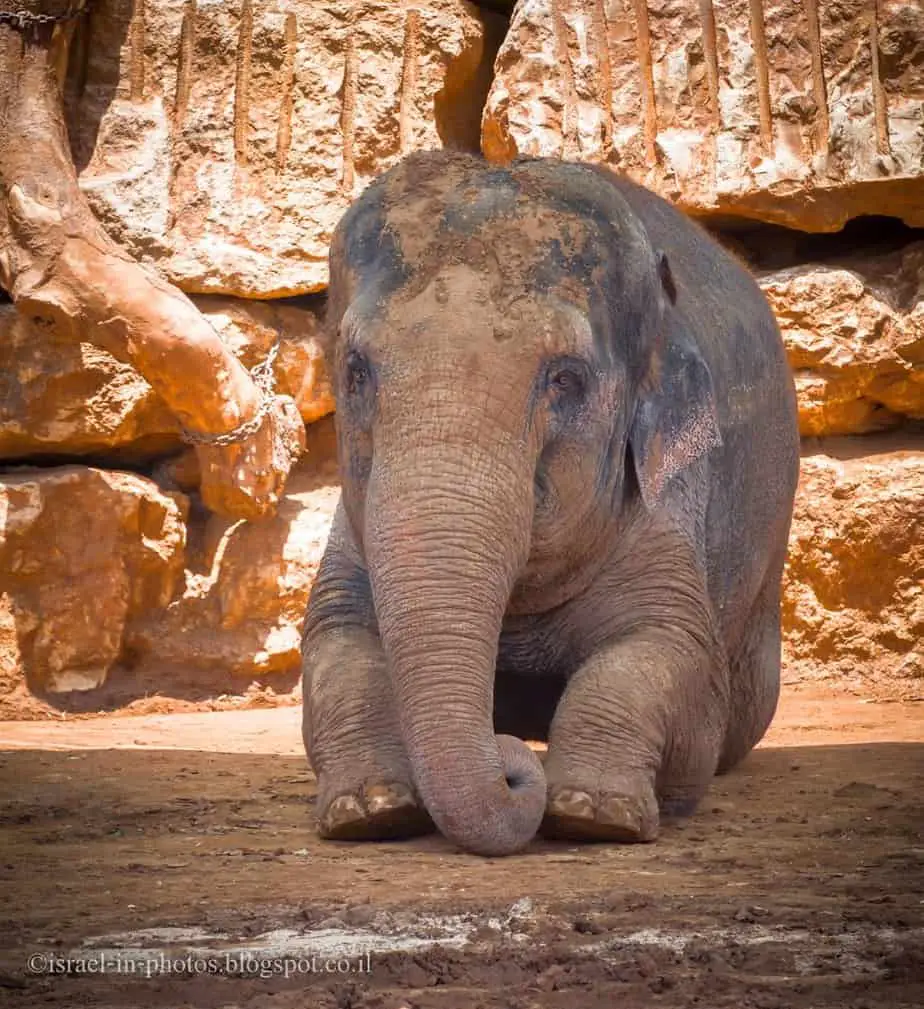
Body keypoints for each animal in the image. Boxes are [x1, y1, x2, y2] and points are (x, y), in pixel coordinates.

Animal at [302, 151, 802, 859]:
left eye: (567, 379)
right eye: (355, 371)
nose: (512, 764)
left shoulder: (668, 499)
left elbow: (668, 653)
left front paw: (593, 814)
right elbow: (337, 642)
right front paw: (371, 811)